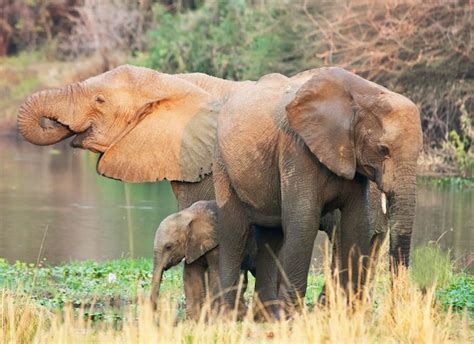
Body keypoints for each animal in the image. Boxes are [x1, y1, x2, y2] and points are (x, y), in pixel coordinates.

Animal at [215, 66, 422, 312]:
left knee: (270, 236)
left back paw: (265, 314)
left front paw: (350, 312)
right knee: (234, 232)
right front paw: (292, 315)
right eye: (383, 149)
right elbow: (304, 220)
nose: (397, 305)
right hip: (222, 165)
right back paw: (228, 314)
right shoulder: (297, 149)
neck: (363, 94)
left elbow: (356, 222)